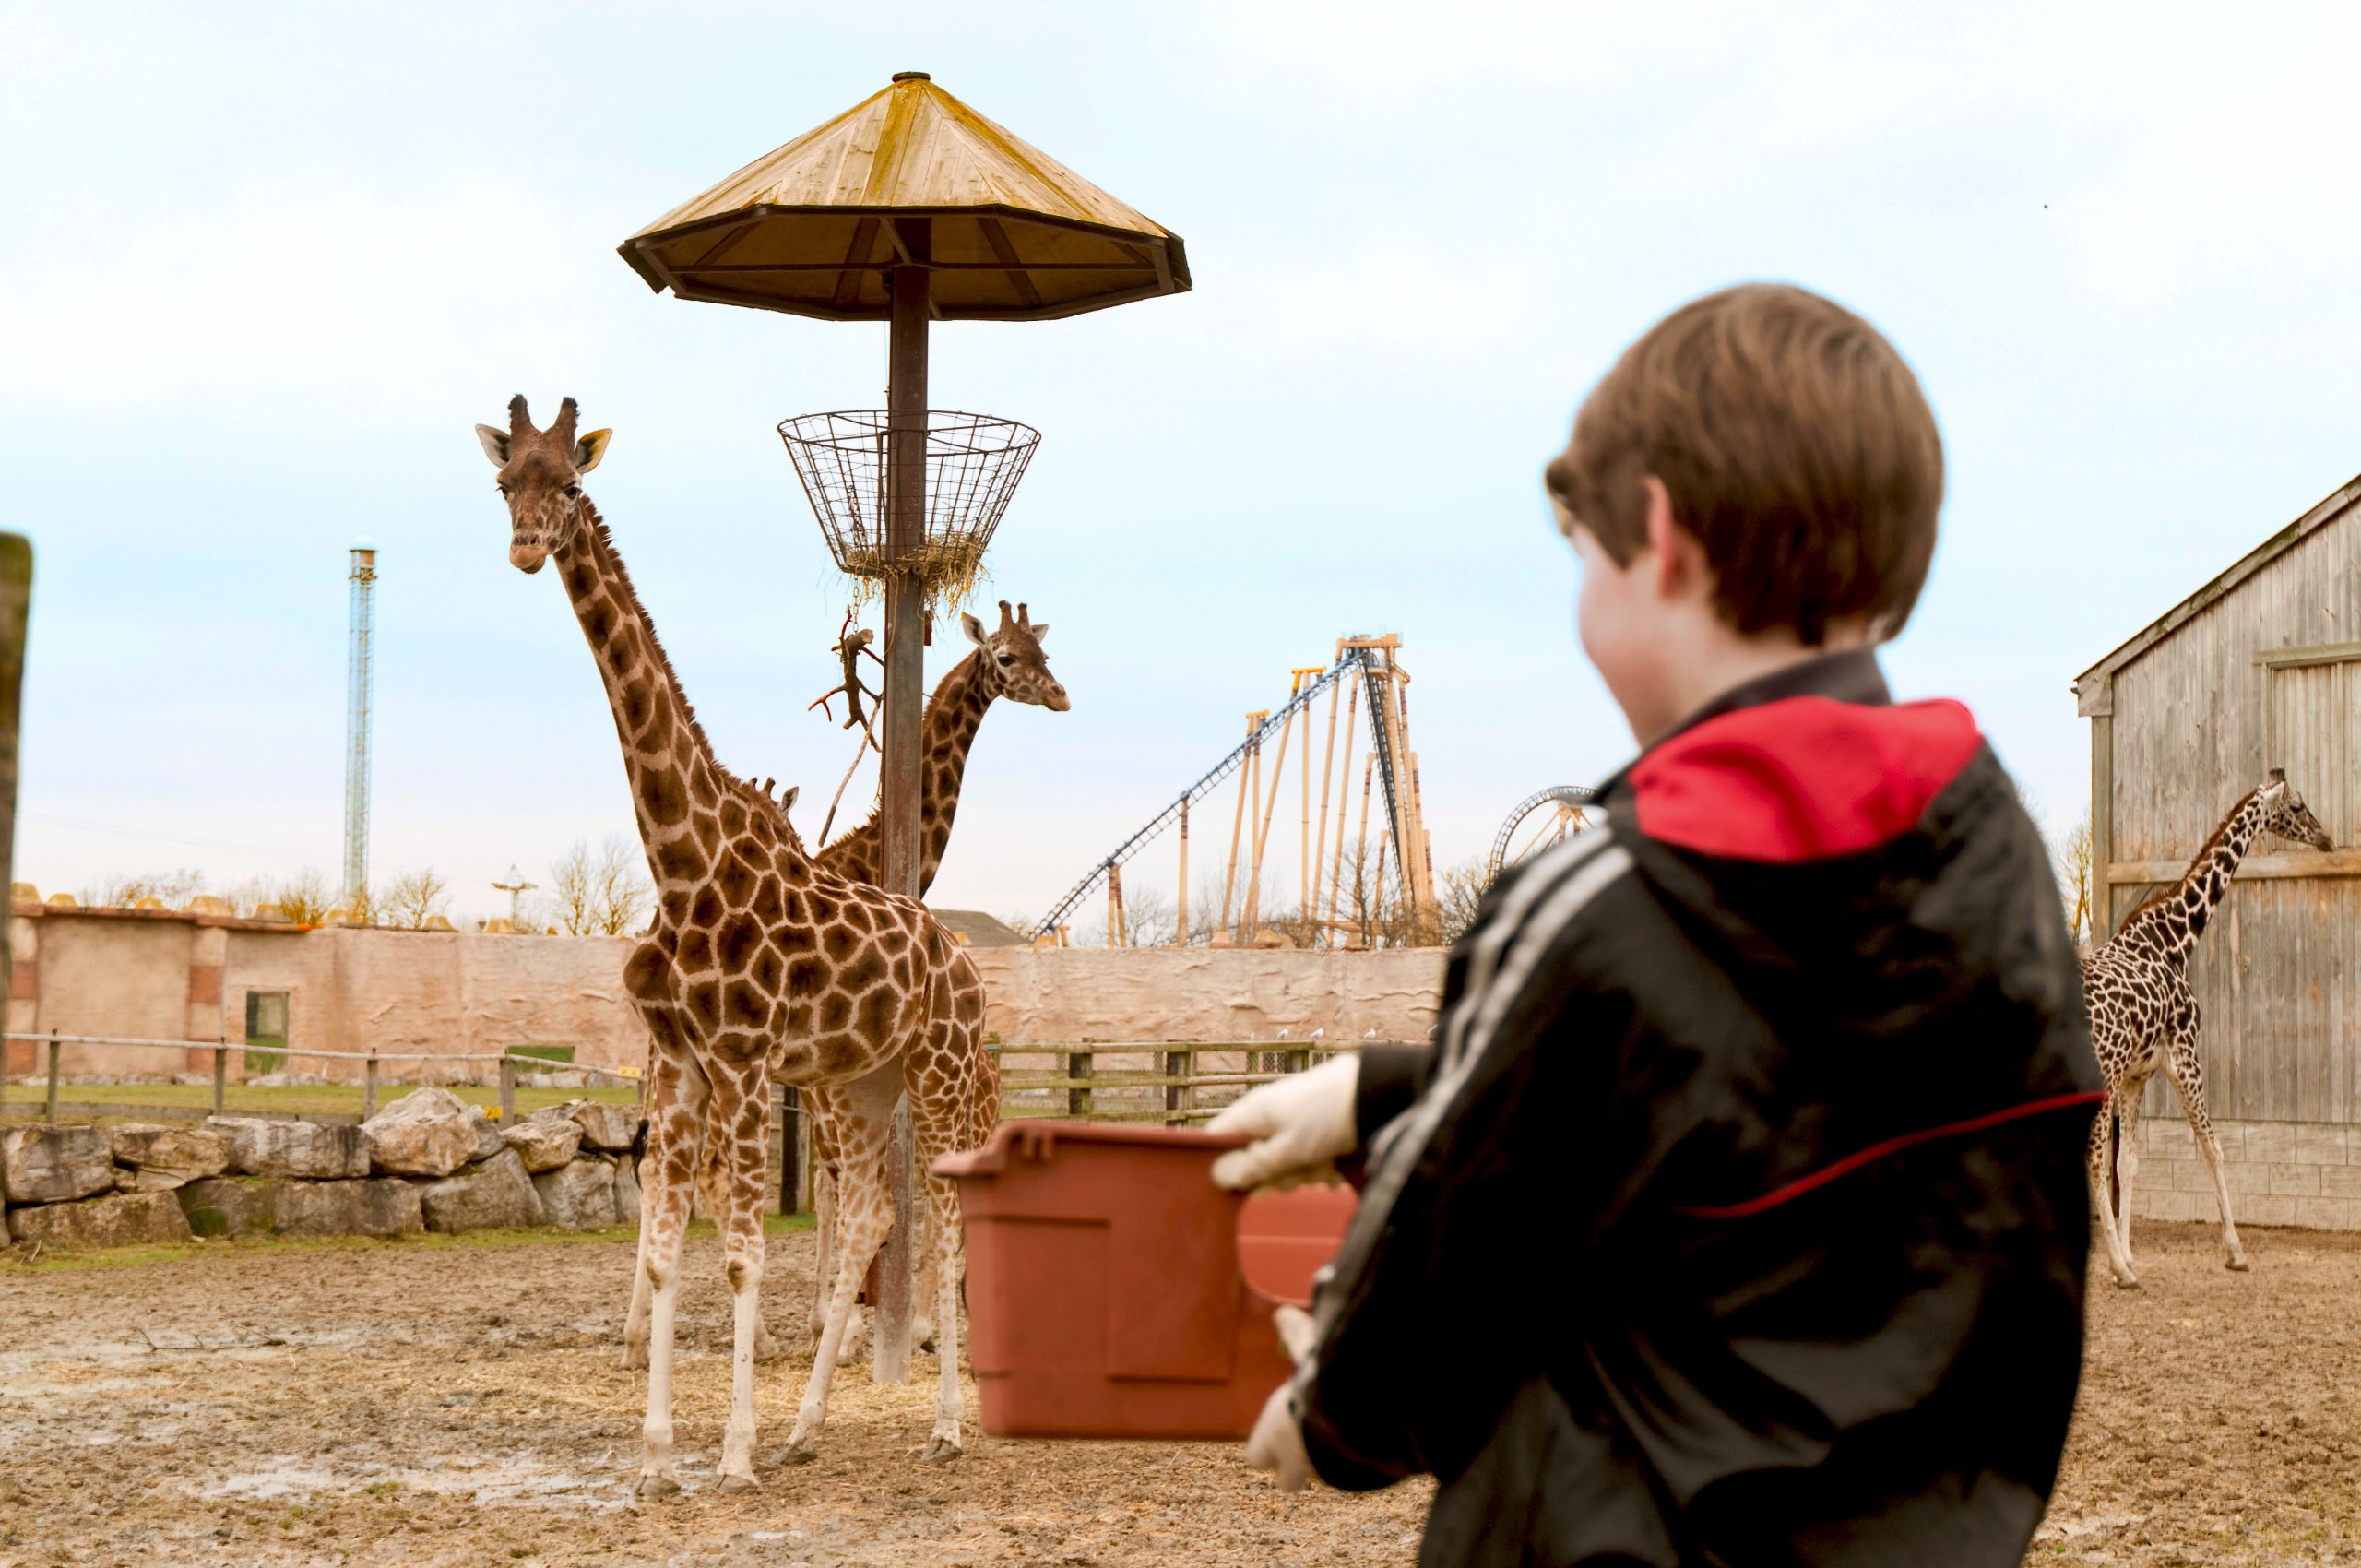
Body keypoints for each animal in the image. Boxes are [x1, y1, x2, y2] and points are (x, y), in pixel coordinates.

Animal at [476, 395, 985, 1490]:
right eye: (504, 483)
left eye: (569, 483)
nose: (528, 548)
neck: (682, 859)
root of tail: (966, 960)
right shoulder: (680, 1066)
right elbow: (667, 1247)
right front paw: (658, 1458)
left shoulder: (746, 1064)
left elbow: (745, 1251)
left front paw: (735, 1454)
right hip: (862, 1081)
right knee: (874, 1214)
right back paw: (810, 1427)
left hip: (942, 1068)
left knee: (949, 1214)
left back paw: (946, 1427)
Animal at [2081, 768, 2331, 1289]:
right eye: (2298, 806)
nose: (2325, 838)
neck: (2177, 939)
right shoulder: (2184, 1058)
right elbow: (2213, 1148)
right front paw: (2235, 1251)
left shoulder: (2138, 1075)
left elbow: (2128, 1163)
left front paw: (2130, 1254)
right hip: (2100, 1076)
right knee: (2091, 1158)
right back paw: (2117, 1269)